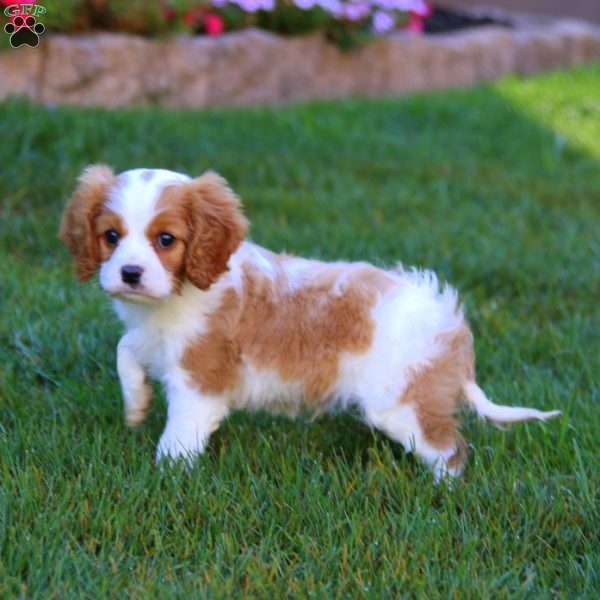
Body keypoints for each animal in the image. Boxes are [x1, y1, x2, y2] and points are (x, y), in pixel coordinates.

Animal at [58, 164, 560, 478]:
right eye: (110, 236)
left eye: (166, 240)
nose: (130, 273)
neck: (172, 299)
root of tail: (452, 327)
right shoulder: (149, 337)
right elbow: (124, 351)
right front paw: (136, 404)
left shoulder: (199, 381)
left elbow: (179, 435)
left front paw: (165, 477)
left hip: (400, 405)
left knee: (449, 450)